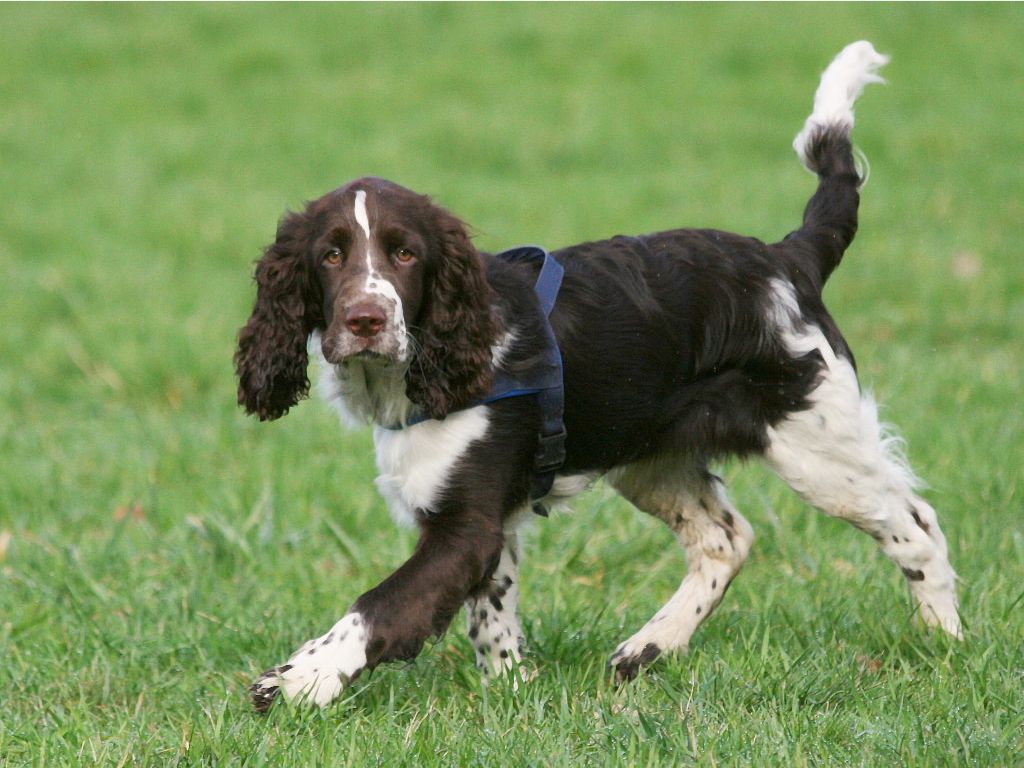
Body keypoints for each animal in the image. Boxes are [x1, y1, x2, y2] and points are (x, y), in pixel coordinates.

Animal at [234, 41, 958, 712]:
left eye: (405, 254)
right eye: (330, 255)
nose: (365, 320)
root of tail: (789, 258)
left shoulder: (464, 526)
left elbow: (377, 606)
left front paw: (296, 680)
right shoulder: (489, 520)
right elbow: (491, 613)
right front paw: (511, 688)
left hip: (817, 443)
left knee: (914, 524)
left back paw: (944, 642)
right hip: (652, 459)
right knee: (726, 538)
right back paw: (647, 648)